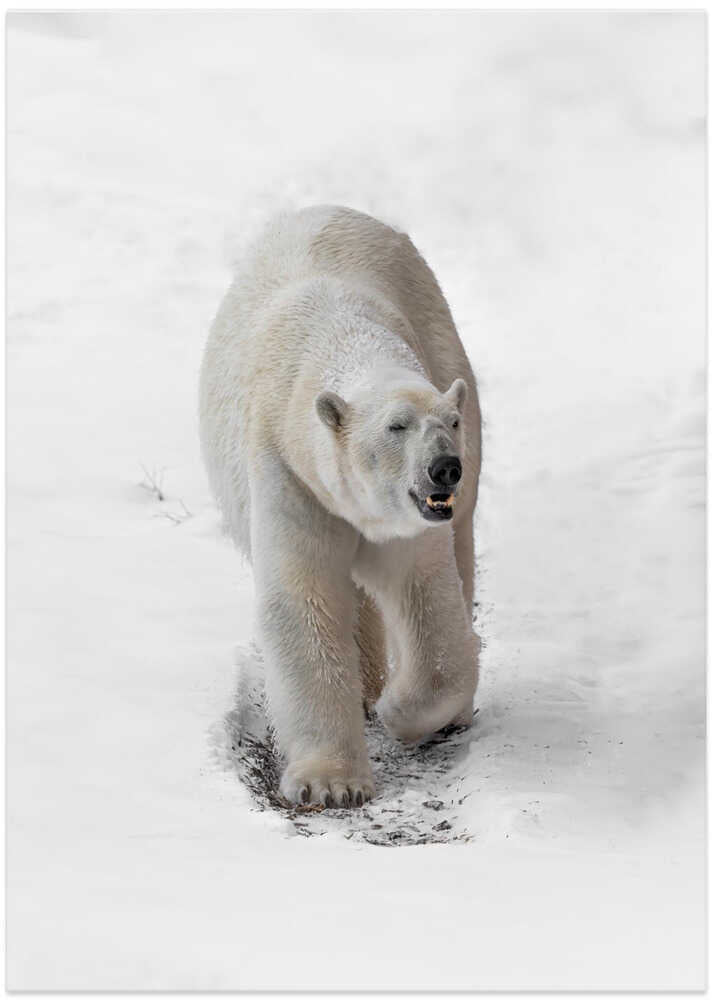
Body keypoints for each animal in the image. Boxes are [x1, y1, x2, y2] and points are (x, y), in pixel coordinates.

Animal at [199, 206, 481, 808]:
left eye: (448, 422)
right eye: (396, 426)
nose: (444, 467)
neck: (338, 335)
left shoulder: (408, 522)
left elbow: (426, 596)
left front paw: (402, 709)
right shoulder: (288, 472)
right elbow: (304, 598)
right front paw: (329, 784)